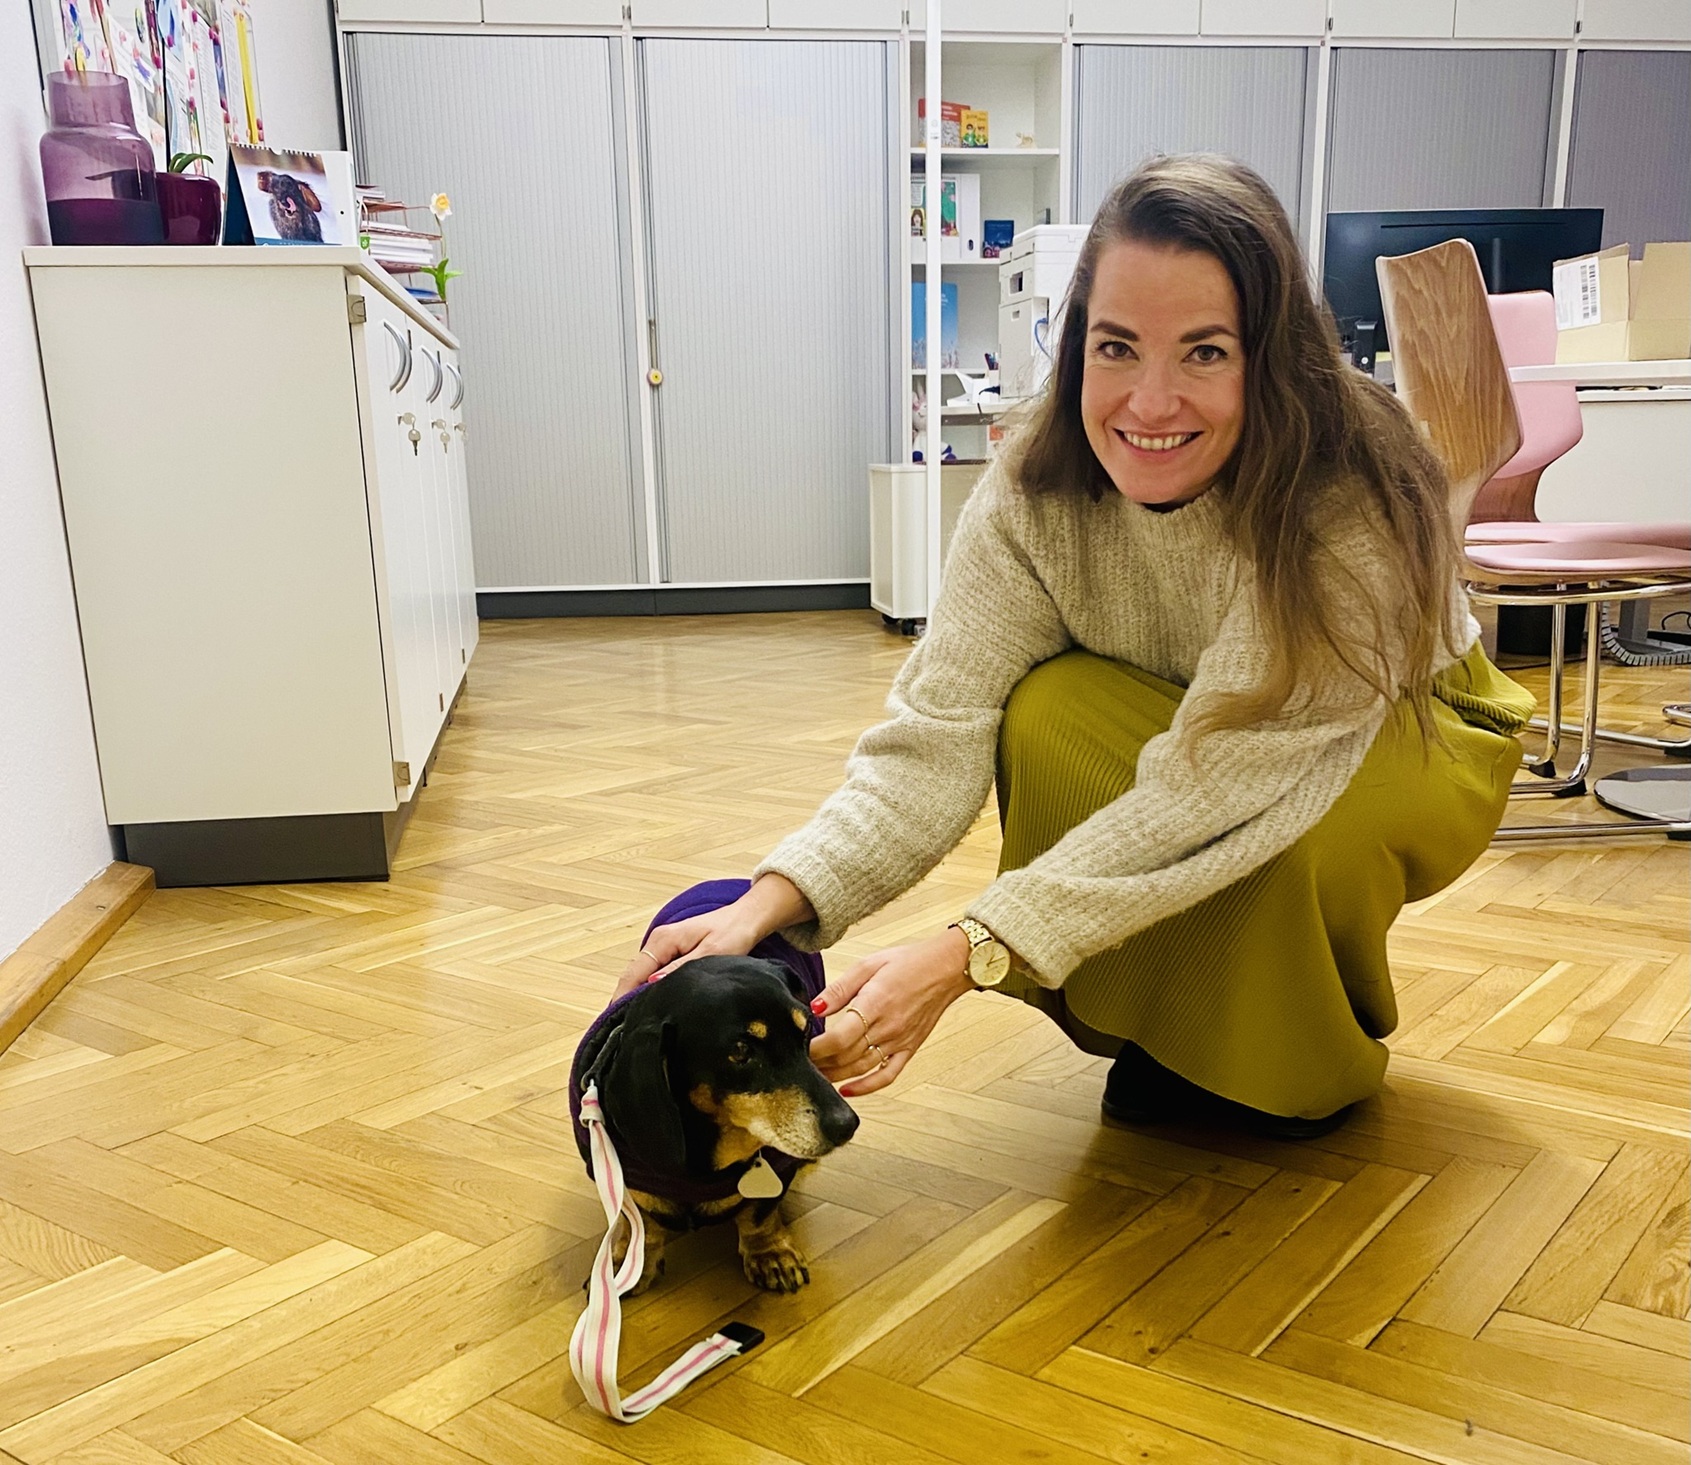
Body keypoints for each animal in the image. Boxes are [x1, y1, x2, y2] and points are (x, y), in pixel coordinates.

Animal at [571, 953, 859, 1294]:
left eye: (804, 1033)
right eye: (741, 1051)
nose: (847, 1125)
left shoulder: (777, 1172)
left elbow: (759, 1214)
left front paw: (770, 1254)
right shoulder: (622, 1174)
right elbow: (639, 1219)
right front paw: (628, 1261)